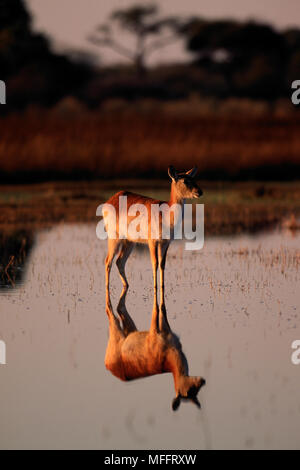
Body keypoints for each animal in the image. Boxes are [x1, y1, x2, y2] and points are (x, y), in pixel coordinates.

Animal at [103, 167, 204, 302]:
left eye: (193, 178)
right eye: (184, 181)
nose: (199, 192)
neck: (166, 214)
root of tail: (109, 201)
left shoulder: (165, 243)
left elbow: (162, 264)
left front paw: (162, 286)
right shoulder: (152, 242)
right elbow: (154, 263)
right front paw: (155, 288)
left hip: (130, 241)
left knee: (119, 261)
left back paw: (127, 284)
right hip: (114, 237)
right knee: (108, 261)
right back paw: (107, 287)